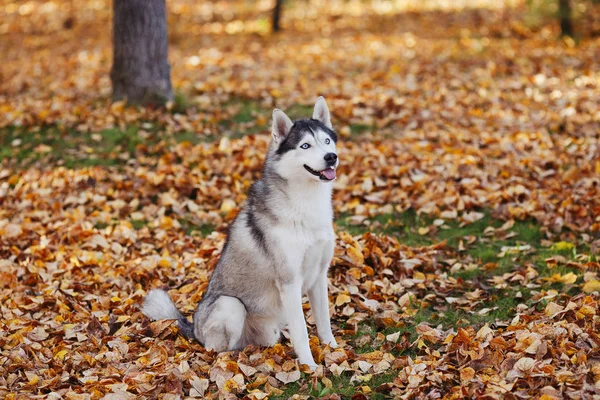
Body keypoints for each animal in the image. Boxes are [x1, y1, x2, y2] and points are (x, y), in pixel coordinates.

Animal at [141, 96, 338, 368]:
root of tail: (194, 329)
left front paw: (334, 351)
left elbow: (324, 322)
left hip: (267, 330)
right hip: (230, 305)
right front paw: (309, 366)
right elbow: (301, 331)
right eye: (305, 145)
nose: (331, 157)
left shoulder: (319, 275)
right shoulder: (289, 282)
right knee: (217, 350)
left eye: (326, 141)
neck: (306, 204)